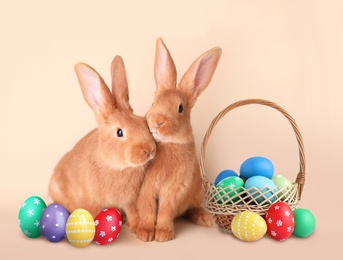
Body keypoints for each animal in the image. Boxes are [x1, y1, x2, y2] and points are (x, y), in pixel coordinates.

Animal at [47, 55, 157, 231]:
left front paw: (135, 227)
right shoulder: (91, 201)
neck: (115, 166)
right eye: (119, 132)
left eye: (142, 122)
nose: (149, 150)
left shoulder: (129, 202)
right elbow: (90, 216)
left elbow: (134, 214)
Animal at [136, 38, 224, 242]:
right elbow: (147, 210)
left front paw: (162, 235)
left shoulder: (174, 190)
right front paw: (144, 234)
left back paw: (206, 219)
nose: (157, 122)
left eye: (180, 108)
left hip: (196, 194)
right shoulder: (146, 189)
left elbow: (165, 211)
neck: (168, 143)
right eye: (153, 102)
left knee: (191, 209)